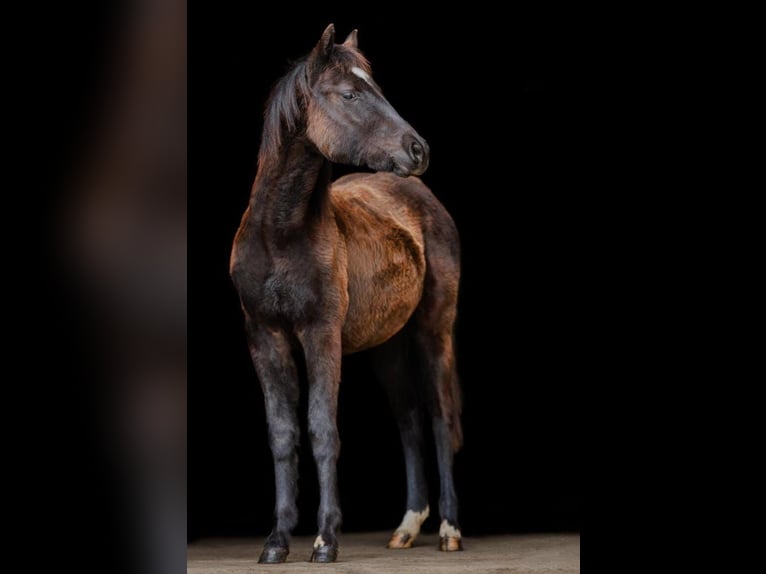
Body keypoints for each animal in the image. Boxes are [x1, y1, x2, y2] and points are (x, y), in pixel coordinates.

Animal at [230, 24, 462, 564]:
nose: (418, 150)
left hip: (434, 331)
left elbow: (322, 429)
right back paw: (406, 528)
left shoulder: (322, 334)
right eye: (350, 94)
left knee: (440, 417)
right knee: (409, 420)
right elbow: (282, 434)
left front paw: (325, 540)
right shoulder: (265, 337)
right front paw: (276, 542)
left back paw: (448, 530)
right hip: (387, 346)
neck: (280, 235)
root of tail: (423, 199)